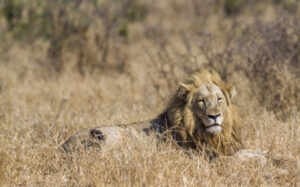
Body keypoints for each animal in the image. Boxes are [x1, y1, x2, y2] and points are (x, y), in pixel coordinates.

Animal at [61, 68, 244, 156]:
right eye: (201, 101)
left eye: (219, 99)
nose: (214, 116)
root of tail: (64, 145)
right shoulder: (201, 154)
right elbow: (240, 156)